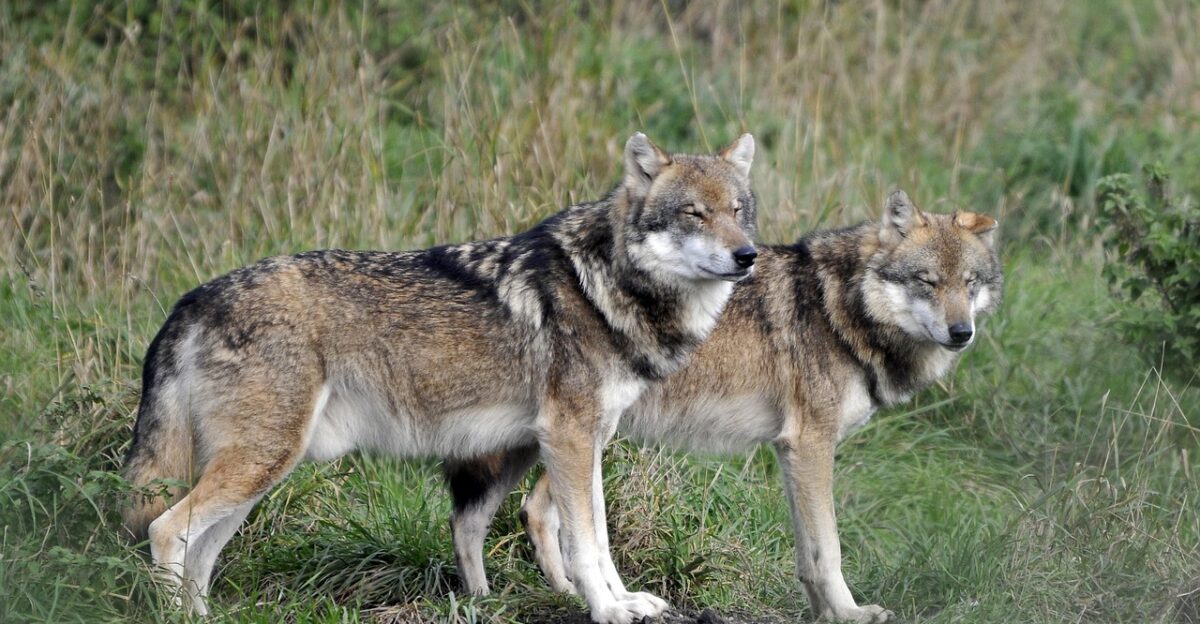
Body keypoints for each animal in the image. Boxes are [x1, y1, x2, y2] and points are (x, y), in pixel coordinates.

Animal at [122, 132, 760, 624]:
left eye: (737, 211)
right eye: (693, 214)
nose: (748, 256)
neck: (601, 285)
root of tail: (193, 298)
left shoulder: (588, 440)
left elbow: (597, 538)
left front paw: (624, 601)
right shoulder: (571, 439)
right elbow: (585, 543)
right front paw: (607, 610)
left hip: (261, 472)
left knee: (200, 552)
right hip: (261, 462)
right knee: (166, 530)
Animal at [443, 190, 1002, 623]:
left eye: (970, 283)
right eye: (927, 282)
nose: (962, 333)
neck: (836, 309)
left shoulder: (791, 453)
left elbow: (808, 553)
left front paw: (823, 613)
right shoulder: (810, 445)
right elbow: (829, 549)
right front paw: (849, 613)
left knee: (525, 512)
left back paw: (551, 596)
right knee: (514, 514)